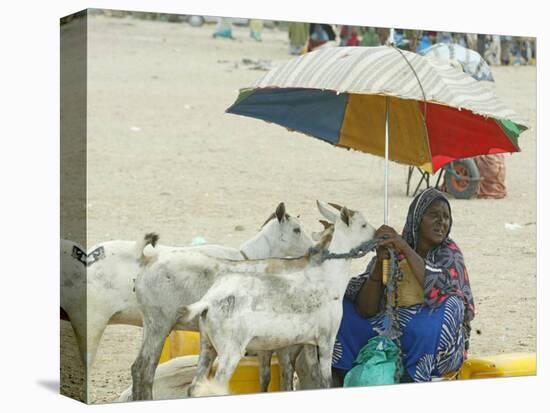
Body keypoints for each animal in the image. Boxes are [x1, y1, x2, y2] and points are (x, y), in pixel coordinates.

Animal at [179, 201, 378, 394]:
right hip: (230, 353)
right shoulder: (326, 340)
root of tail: (209, 301)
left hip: (207, 346)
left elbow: (314, 377)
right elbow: (326, 381)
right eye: (363, 224)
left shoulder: (308, 343)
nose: (378, 234)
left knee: (194, 387)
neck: (328, 276)